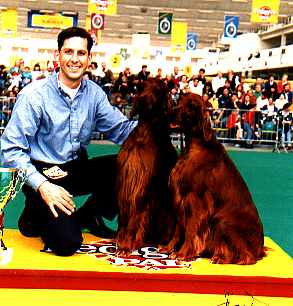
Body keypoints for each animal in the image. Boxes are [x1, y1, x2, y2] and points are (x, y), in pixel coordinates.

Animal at [115, 78, 177, 256]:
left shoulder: (141, 186)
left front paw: (126, 246)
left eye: (157, 90)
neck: (144, 133)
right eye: (141, 86)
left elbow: (135, 218)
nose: (141, 100)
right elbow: (124, 217)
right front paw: (119, 239)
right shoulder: (125, 181)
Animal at [167, 93, 264, 262]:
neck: (195, 145)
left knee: (247, 257)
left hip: (222, 220)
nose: (170, 112)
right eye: (178, 101)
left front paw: (183, 253)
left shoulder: (196, 200)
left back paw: (220, 257)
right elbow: (178, 227)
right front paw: (169, 248)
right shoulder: (180, 197)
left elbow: (191, 229)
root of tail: (260, 248)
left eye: (191, 106)